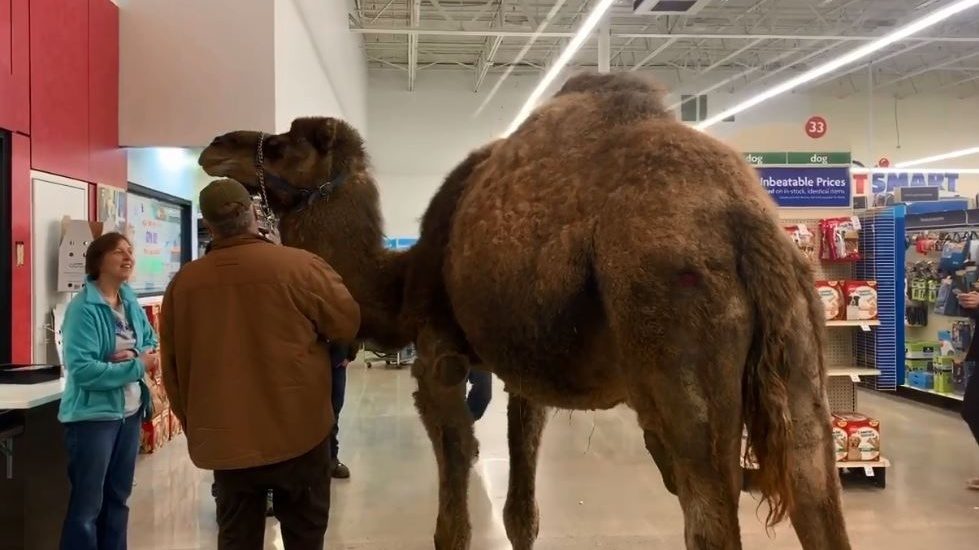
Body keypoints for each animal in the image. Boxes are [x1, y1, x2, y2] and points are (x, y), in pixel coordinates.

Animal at [197, 73, 848, 550]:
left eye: (280, 145)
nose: (214, 145)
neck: (403, 275)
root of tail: (745, 222)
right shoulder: (525, 374)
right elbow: (521, 513)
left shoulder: (438, 352)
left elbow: (455, 497)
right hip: (797, 344)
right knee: (815, 490)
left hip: (671, 320)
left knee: (708, 511)